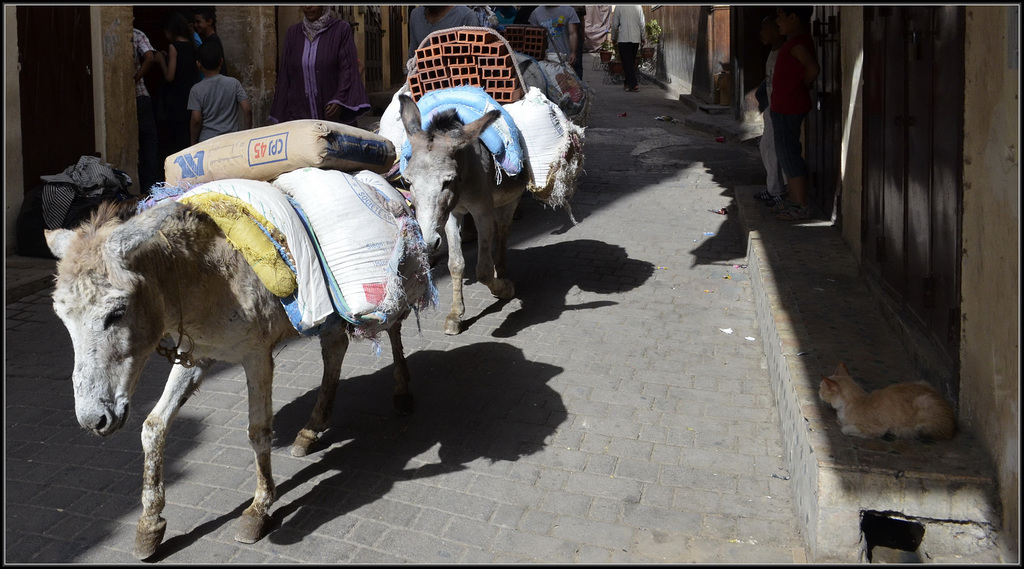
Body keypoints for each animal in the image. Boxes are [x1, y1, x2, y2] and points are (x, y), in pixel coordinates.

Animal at [819, 360, 954, 440]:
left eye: (821, 387)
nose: (818, 392)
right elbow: (840, 422)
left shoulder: (876, 428)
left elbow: (845, 429)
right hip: (922, 382)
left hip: (924, 401)